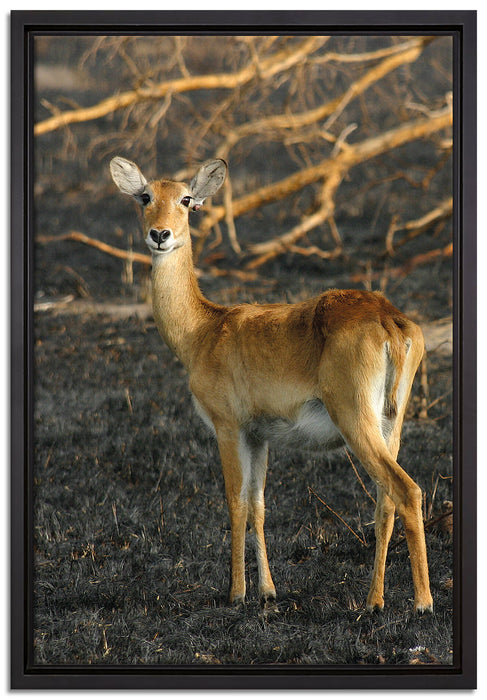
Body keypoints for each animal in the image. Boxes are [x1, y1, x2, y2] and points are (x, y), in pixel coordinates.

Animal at [110, 155, 433, 613]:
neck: (203, 330)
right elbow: (259, 505)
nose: (159, 234)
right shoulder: (259, 435)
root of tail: (389, 319)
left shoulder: (228, 427)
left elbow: (235, 501)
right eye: (145, 196)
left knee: (407, 490)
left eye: (186, 199)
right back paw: (373, 601)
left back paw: (422, 602)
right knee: (385, 500)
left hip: (356, 420)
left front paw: (236, 592)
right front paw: (267, 590)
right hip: (392, 423)